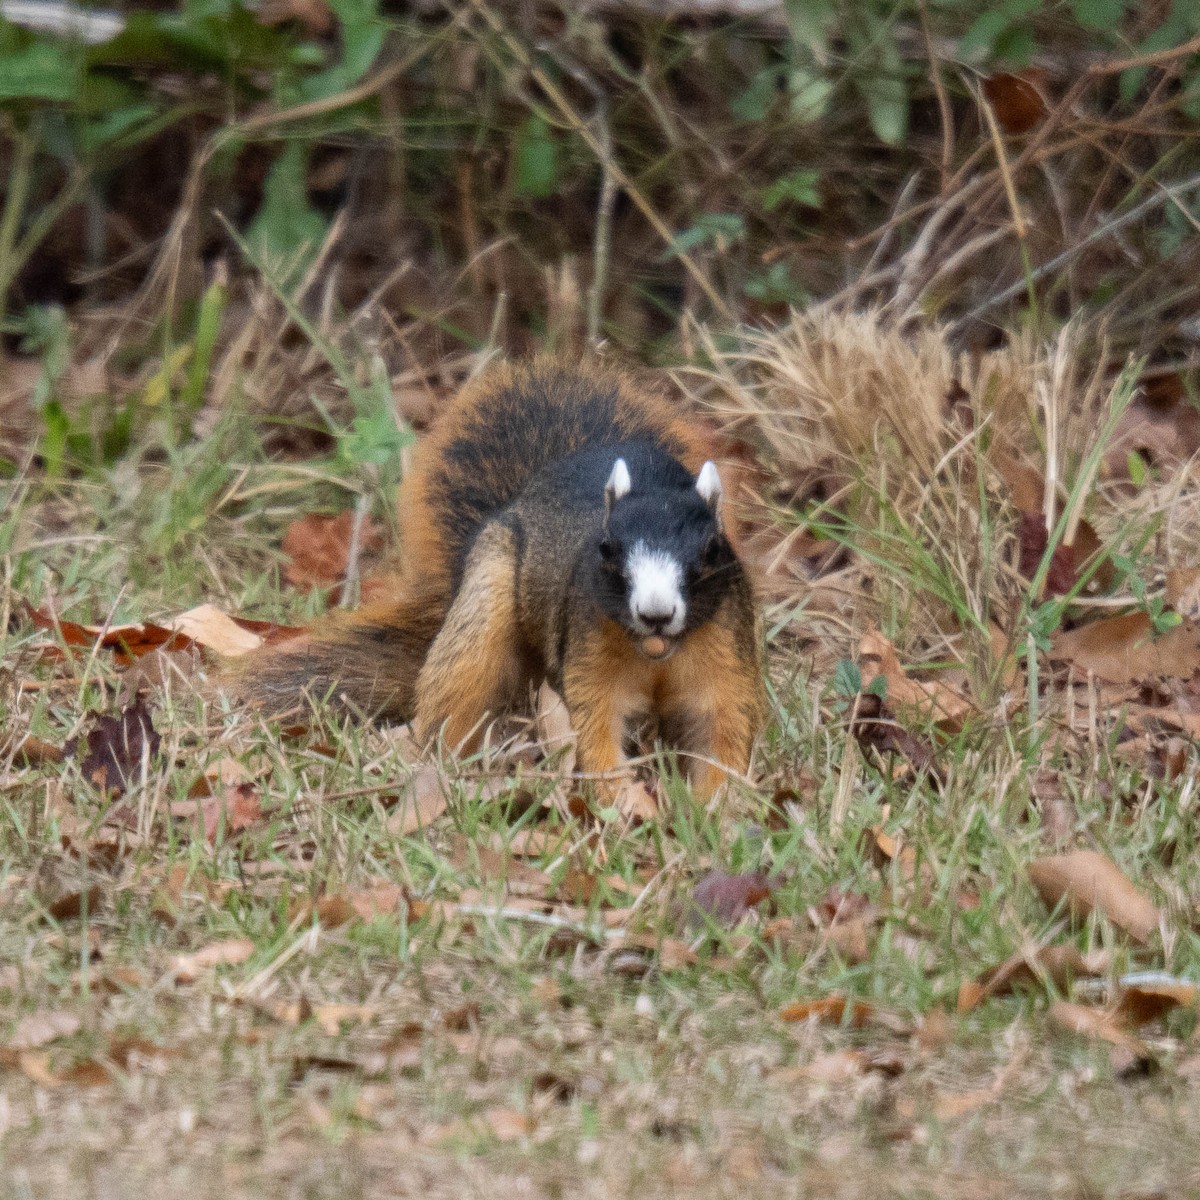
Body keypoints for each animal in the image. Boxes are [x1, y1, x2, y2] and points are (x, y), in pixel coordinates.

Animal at [237, 360, 765, 800]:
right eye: (606, 549)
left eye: (713, 549)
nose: (656, 613)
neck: (655, 653)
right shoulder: (589, 660)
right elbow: (598, 732)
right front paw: (624, 805)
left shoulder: (724, 662)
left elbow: (721, 736)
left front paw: (718, 814)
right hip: (487, 597)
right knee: (458, 688)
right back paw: (446, 762)